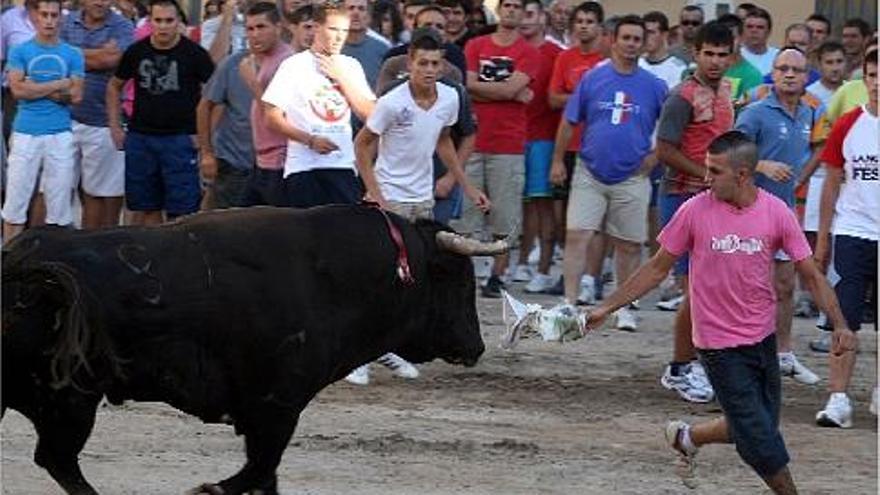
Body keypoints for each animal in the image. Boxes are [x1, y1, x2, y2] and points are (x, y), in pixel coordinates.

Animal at [0, 205, 506, 495]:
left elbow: (264, 479)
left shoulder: (268, 415)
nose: (476, 345)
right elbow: (257, 472)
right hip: (72, 401)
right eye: (459, 280)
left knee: (57, 461)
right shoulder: (276, 407)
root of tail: (24, 261)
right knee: (59, 459)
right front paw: (207, 490)